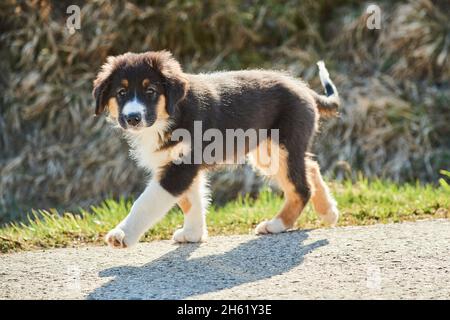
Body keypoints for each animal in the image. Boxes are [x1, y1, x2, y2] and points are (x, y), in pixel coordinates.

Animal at [93, 51, 340, 249]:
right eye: (121, 92)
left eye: (151, 91)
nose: (133, 118)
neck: (171, 116)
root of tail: (304, 88)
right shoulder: (177, 165)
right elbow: (191, 201)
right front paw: (193, 234)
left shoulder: (180, 168)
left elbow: (146, 202)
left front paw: (122, 234)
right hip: (267, 152)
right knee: (310, 166)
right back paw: (328, 212)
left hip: (281, 147)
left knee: (301, 187)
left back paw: (276, 225)